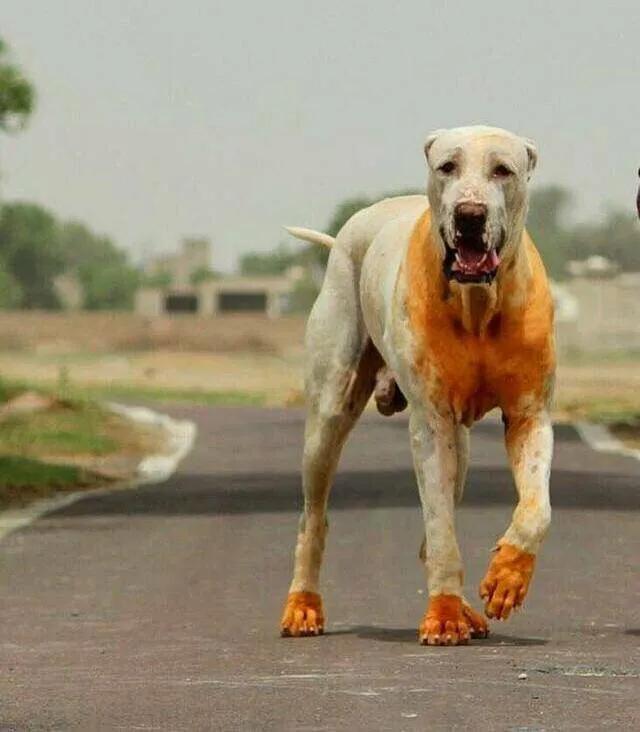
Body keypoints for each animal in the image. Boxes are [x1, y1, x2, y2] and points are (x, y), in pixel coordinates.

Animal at [280, 126, 556, 648]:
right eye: (447, 166)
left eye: (503, 170)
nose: (470, 214)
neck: (477, 302)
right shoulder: (431, 424)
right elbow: (442, 527)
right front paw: (443, 617)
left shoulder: (530, 415)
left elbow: (536, 508)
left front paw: (507, 577)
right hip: (328, 417)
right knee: (313, 517)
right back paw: (303, 606)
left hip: (462, 447)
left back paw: (468, 609)